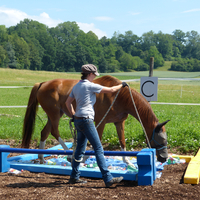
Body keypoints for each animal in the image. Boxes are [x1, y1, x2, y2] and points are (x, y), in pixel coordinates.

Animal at [21, 75, 169, 164]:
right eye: (160, 139)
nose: (164, 158)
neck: (118, 96)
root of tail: (43, 83)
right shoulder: (100, 122)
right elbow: (97, 140)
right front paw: (85, 157)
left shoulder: (119, 122)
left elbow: (122, 141)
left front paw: (127, 161)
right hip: (55, 115)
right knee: (54, 132)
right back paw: (69, 155)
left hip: (54, 115)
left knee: (44, 132)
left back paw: (41, 158)